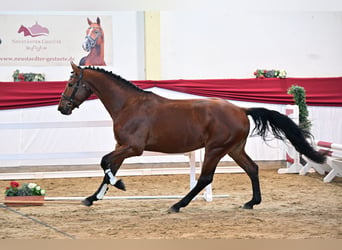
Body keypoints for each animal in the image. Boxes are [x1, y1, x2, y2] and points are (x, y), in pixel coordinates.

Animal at [57, 62, 324, 213]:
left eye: (70, 82)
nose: (62, 108)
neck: (129, 105)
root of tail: (241, 109)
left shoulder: (132, 147)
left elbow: (105, 162)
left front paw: (119, 185)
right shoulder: (121, 146)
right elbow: (108, 167)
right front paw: (92, 198)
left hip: (215, 149)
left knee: (205, 178)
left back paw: (177, 205)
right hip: (234, 149)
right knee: (252, 169)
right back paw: (251, 203)